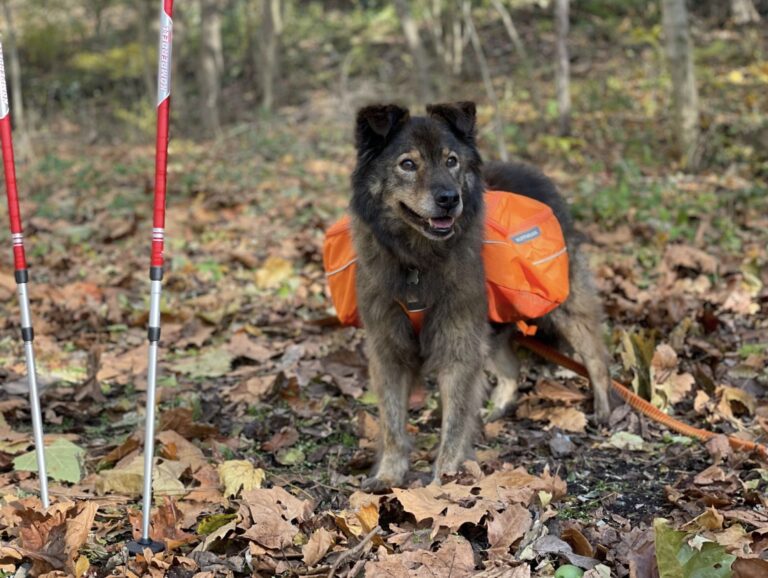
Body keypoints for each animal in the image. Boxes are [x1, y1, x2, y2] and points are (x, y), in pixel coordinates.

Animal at [350, 101, 612, 488]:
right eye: (407, 164)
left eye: (451, 161)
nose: (449, 199)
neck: (418, 263)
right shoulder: (389, 350)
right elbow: (393, 425)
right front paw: (388, 475)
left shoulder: (458, 345)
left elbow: (454, 424)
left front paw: (442, 482)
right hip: (489, 325)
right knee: (511, 367)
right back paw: (498, 409)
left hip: (562, 305)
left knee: (595, 357)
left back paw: (605, 409)